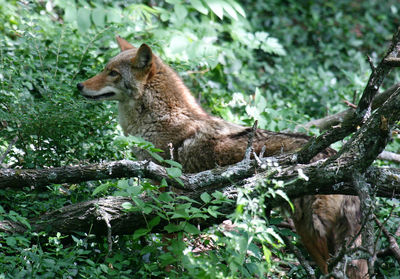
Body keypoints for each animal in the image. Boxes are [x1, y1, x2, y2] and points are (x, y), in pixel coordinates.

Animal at [77, 36, 368, 278]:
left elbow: (170, 255)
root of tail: (339, 159)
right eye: (104, 69)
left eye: (112, 73)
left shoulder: (172, 205)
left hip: (312, 233)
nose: (79, 85)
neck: (158, 119)